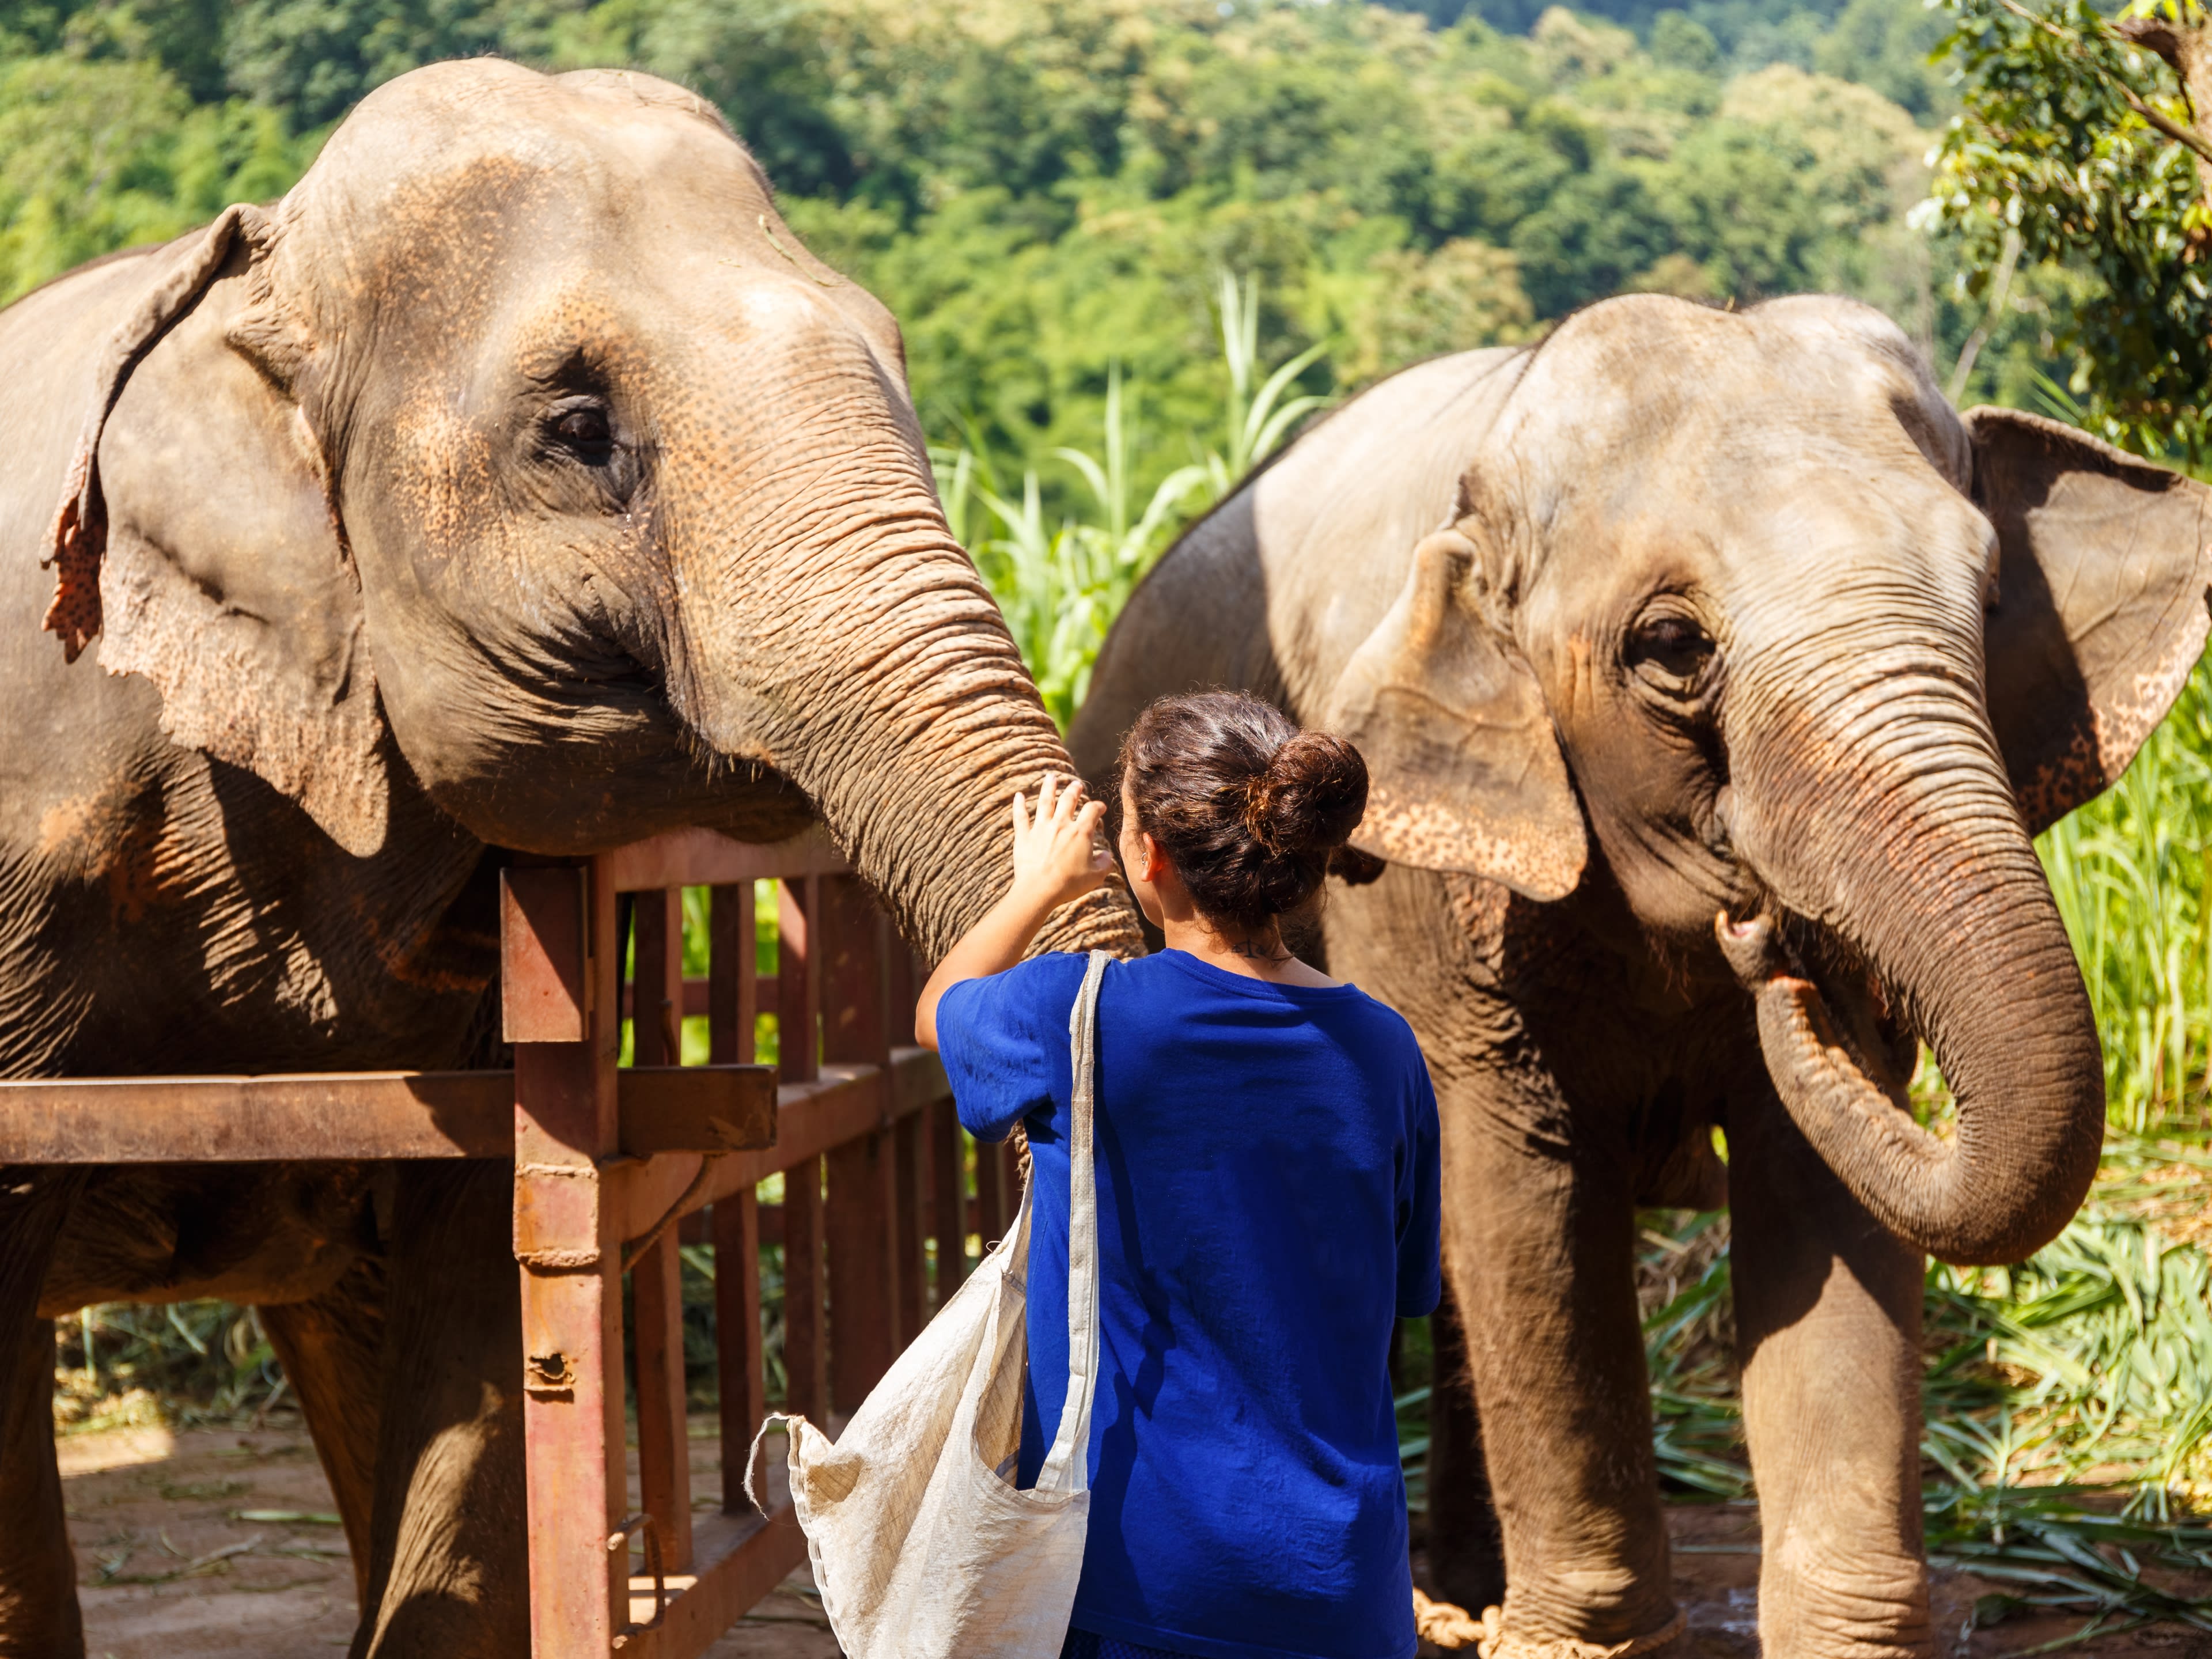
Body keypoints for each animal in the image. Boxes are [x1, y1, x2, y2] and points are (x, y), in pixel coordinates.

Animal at [1070, 296, 2212, 1659]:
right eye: (1671, 647)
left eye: (1989, 599)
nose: (1774, 946)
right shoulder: (1428, 900)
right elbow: (1523, 1205)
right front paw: (1583, 1639)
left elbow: (1820, 1201)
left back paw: (1468, 1591)